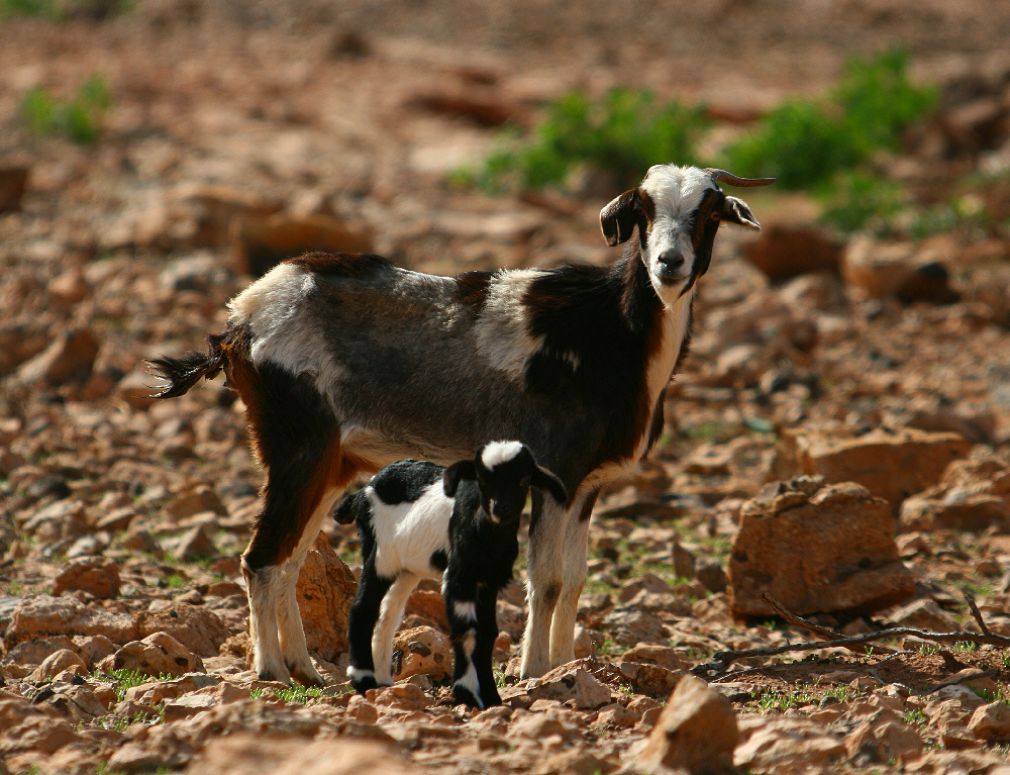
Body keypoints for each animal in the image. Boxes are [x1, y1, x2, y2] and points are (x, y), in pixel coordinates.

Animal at [336, 441, 567, 708]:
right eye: (482, 480)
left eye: (524, 479)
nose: (500, 508)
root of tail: (364, 490)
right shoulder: (459, 578)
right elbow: (468, 631)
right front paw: (467, 692)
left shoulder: (488, 581)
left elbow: (487, 633)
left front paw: (490, 696)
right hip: (381, 555)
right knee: (362, 608)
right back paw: (363, 679)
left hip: (408, 569)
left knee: (388, 615)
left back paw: (383, 681)